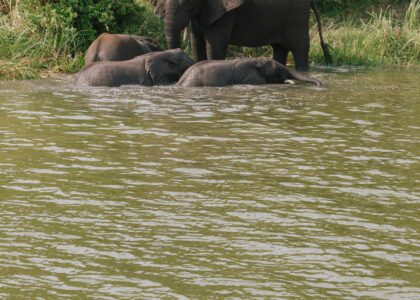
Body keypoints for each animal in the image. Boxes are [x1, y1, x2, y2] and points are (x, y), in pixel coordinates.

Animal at [150, 0, 332, 71]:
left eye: (189, 2)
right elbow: (197, 43)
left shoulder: (225, 13)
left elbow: (215, 45)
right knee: (279, 48)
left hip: (296, 15)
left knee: (299, 48)